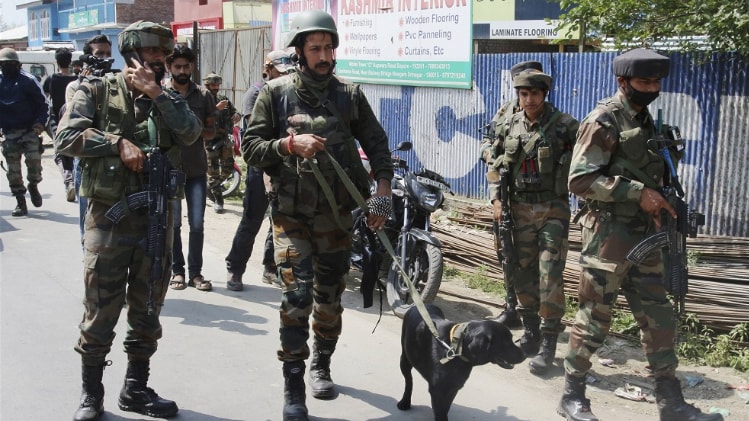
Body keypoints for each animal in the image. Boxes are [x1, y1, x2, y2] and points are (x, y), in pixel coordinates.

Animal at [397, 304, 525, 421]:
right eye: (506, 343)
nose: (525, 355)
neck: (455, 351)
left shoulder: (454, 387)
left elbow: (445, 408)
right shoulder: (438, 391)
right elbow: (441, 413)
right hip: (404, 359)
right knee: (409, 381)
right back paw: (405, 402)